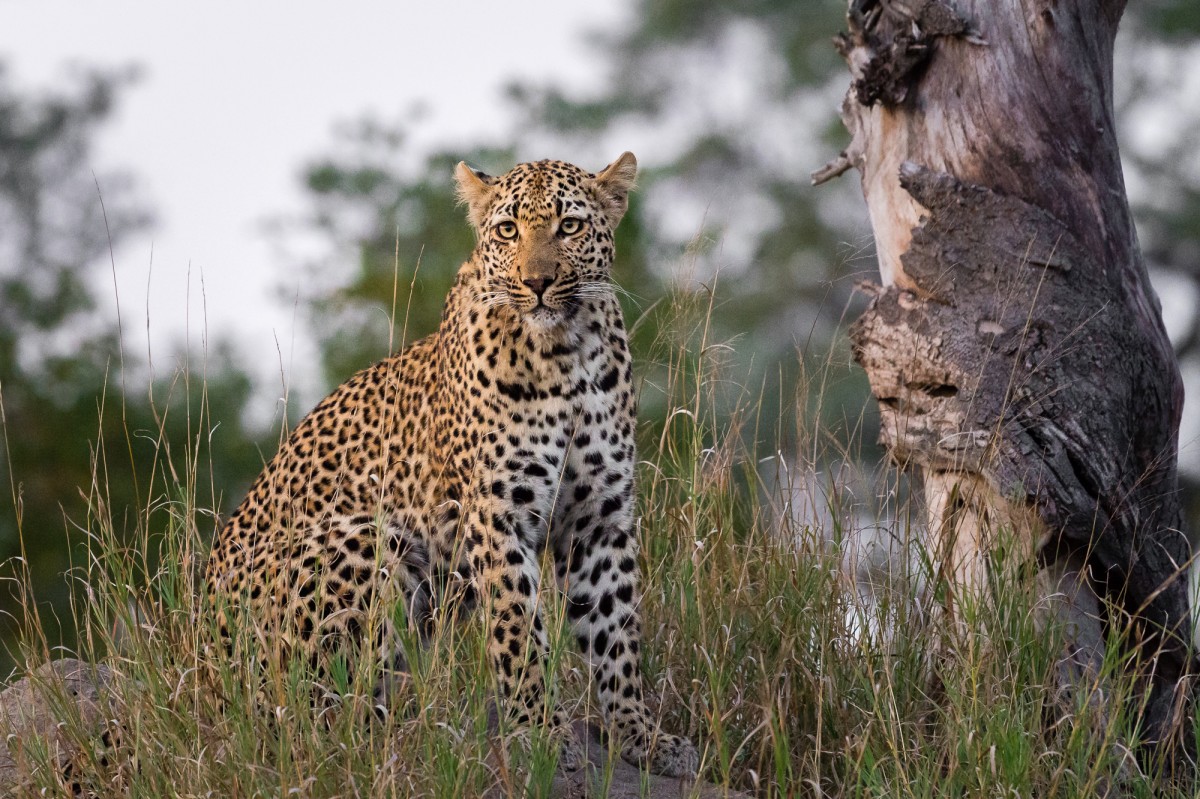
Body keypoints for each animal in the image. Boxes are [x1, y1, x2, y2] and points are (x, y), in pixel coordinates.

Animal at [201, 152, 700, 772]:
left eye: (570, 226)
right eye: (507, 230)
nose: (537, 283)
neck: (568, 354)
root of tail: (201, 674)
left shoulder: (599, 516)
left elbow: (616, 632)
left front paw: (639, 734)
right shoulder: (496, 511)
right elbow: (518, 628)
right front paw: (540, 733)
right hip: (363, 539)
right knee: (318, 721)